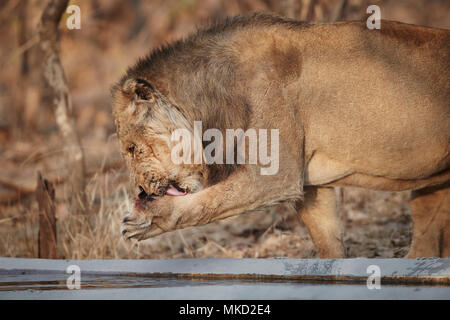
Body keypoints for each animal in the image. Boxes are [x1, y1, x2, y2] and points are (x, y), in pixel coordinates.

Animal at [110, 11, 448, 258]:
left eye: (133, 148)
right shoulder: (311, 186)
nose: (142, 190)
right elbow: (329, 245)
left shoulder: (275, 175)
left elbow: (206, 204)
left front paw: (145, 218)